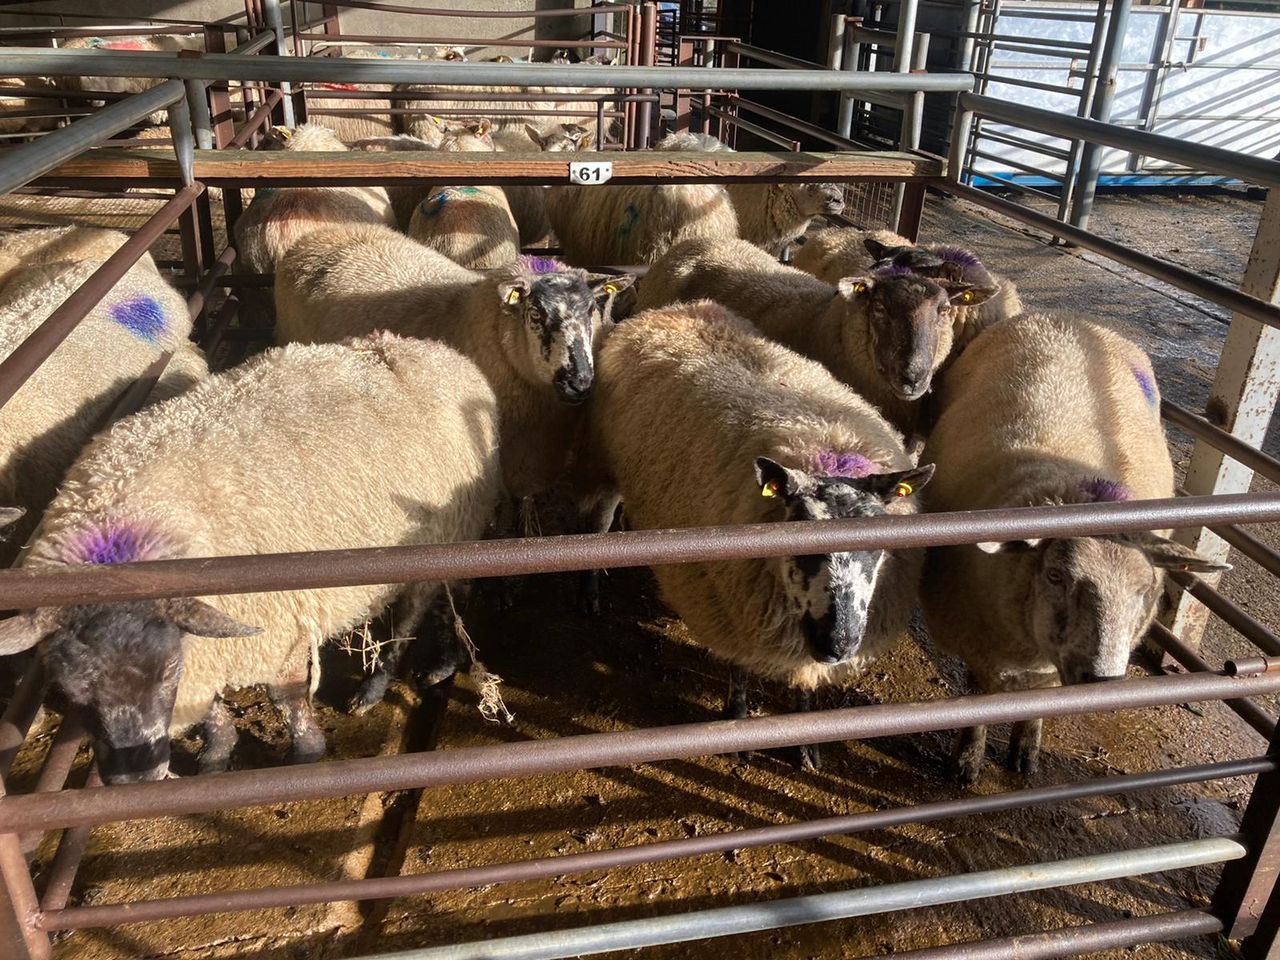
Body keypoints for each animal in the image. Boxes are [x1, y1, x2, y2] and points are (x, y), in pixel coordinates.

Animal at [0, 332, 501, 784]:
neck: (122, 522)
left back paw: (377, 686)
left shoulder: (278, 619)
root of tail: (437, 351)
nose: (134, 778)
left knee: (410, 618)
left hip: (438, 539)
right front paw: (217, 753)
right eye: (69, 690)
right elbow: (211, 708)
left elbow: (286, 697)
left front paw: (306, 751)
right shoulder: (207, 643)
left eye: (165, 672)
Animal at [579, 299, 932, 768]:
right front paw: (738, 724)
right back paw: (592, 587)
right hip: (601, 461)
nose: (839, 644)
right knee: (597, 525)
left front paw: (807, 742)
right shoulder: (728, 606)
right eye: (799, 542)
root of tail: (672, 309)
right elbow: (740, 669)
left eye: (878, 548)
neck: (822, 446)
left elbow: (806, 681)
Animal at [920, 312, 1226, 784]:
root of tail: (1065, 319)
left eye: (1145, 591)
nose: (1102, 681)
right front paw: (967, 759)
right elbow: (979, 698)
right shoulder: (979, 643)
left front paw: (1026, 749)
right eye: (1055, 575)